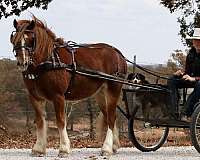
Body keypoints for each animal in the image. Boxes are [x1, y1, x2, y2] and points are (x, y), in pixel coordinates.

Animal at [9, 16, 126, 157]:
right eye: (14, 38)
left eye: (30, 39)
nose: (22, 63)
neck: (49, 60)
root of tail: (118, 54)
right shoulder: (35, 97)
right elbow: (40, 121)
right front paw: (38, 149)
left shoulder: (58, 96)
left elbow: (60, 121)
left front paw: (64, 149)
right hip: (101, 94)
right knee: (110, 117)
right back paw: (114, 146)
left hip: (113, 89)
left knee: (111, 118)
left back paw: (107, 148)